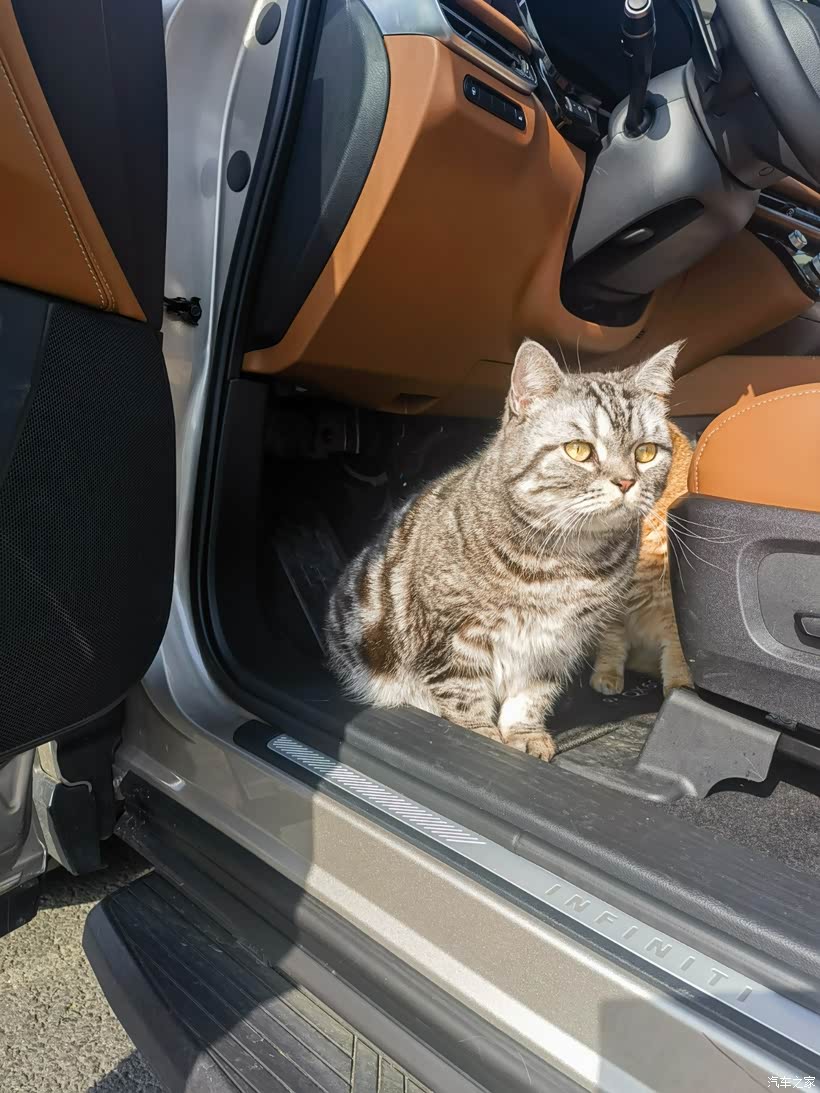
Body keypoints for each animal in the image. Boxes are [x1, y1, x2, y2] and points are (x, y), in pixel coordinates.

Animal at [325, 338, 681, 761]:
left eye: (645, 452)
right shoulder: (454, 638)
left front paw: (525, 733)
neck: (568, 559)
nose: (626, 482)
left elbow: (531, 696)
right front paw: (480, 735)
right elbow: (466, 696)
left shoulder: (556, 643)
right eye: (579, 450)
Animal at [590, 420, 693, 698]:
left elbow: (677, 656)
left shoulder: (673, 615)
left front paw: (679, 686)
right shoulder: (613, 614)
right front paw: (606, 675)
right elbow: (612, 645)